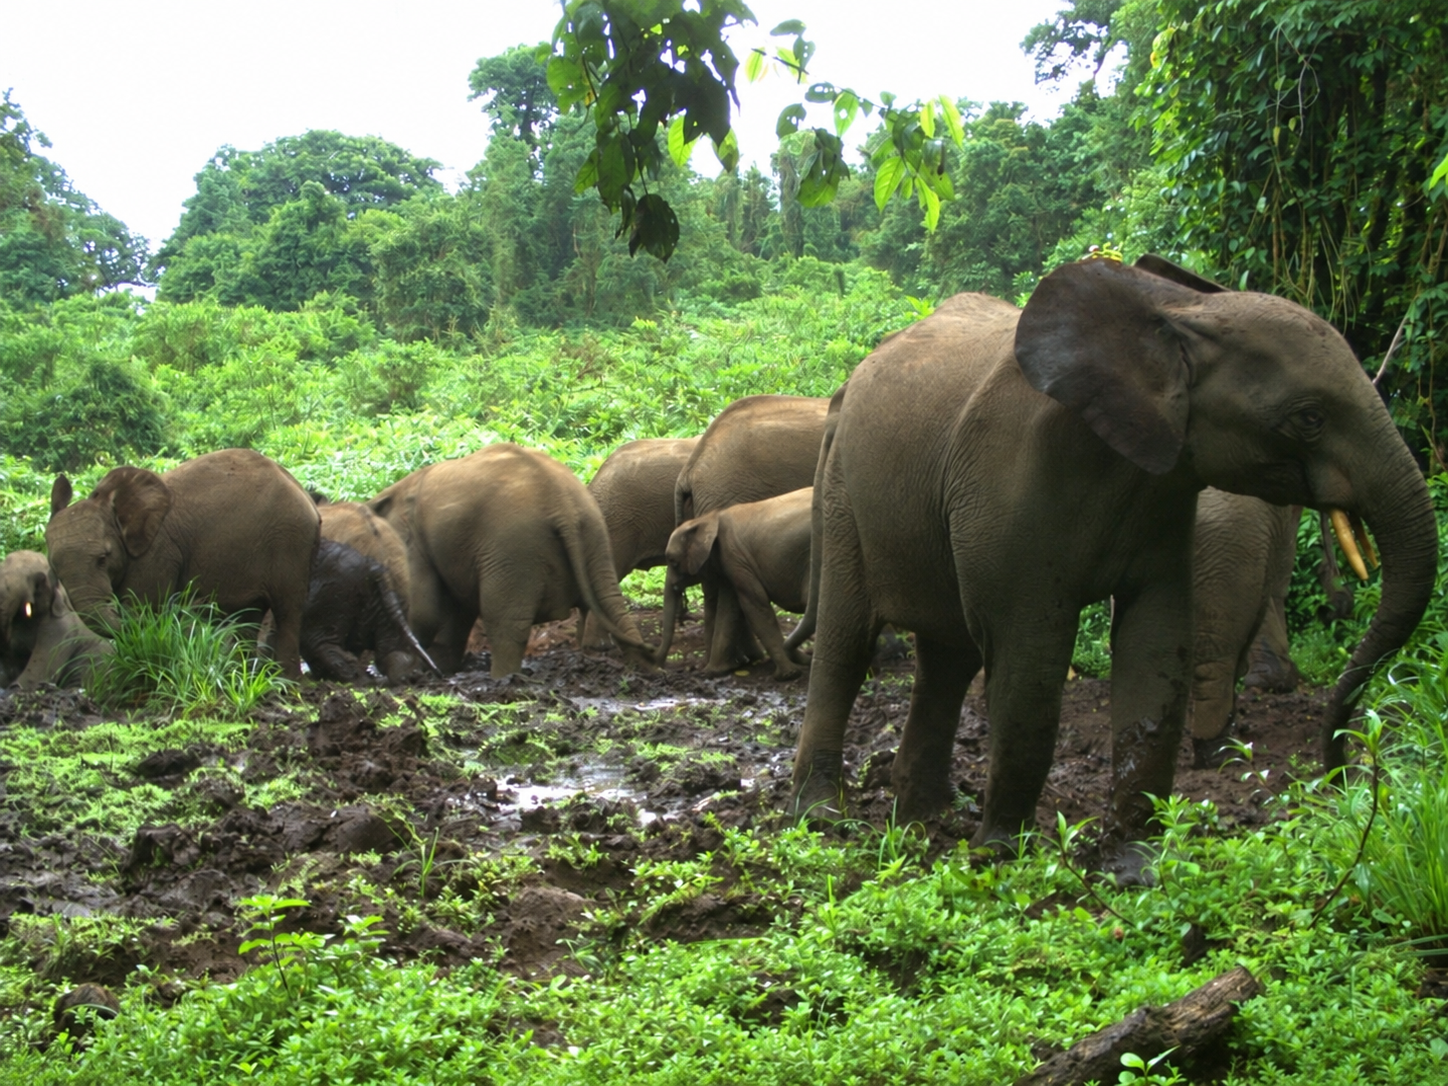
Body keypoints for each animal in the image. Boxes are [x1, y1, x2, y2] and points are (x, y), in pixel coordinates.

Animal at [46, 449, 321, 678]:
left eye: (103, 559)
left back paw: (286, 683)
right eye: (54, 569)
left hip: (291, 543)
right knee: (249, 617)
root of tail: (307, 498)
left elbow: (144, 607)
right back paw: (241, 678)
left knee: (287, 611)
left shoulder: (157, 552)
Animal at [367, 443, 654, 677]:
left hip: (514, 548)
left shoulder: (412, 542)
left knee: (504, 622)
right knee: (609, 601)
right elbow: (456, 609)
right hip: (594, 532)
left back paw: (502, 680)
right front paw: (440, 669)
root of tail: (562, 504)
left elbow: (424, 608)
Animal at [656, 487, 813, 679]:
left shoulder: (735, 558)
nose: (660, 668)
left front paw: (787, 675)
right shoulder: (729, 564)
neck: (708, 518)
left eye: (672, 561)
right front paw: (713, 672)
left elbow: (755, 606)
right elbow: (729, 608)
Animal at [789, 255, 1435, 873]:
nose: (1341, 774)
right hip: (844, 498)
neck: (1184, 311)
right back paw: (824, 815)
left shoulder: (1164, 492)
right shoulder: (1011, 480)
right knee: (848, 644)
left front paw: (1132, 868)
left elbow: (1155, 644)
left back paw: (929, 815)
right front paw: (1000, 855)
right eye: (1309, 419)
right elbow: (1030, 657)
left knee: (950, 658)